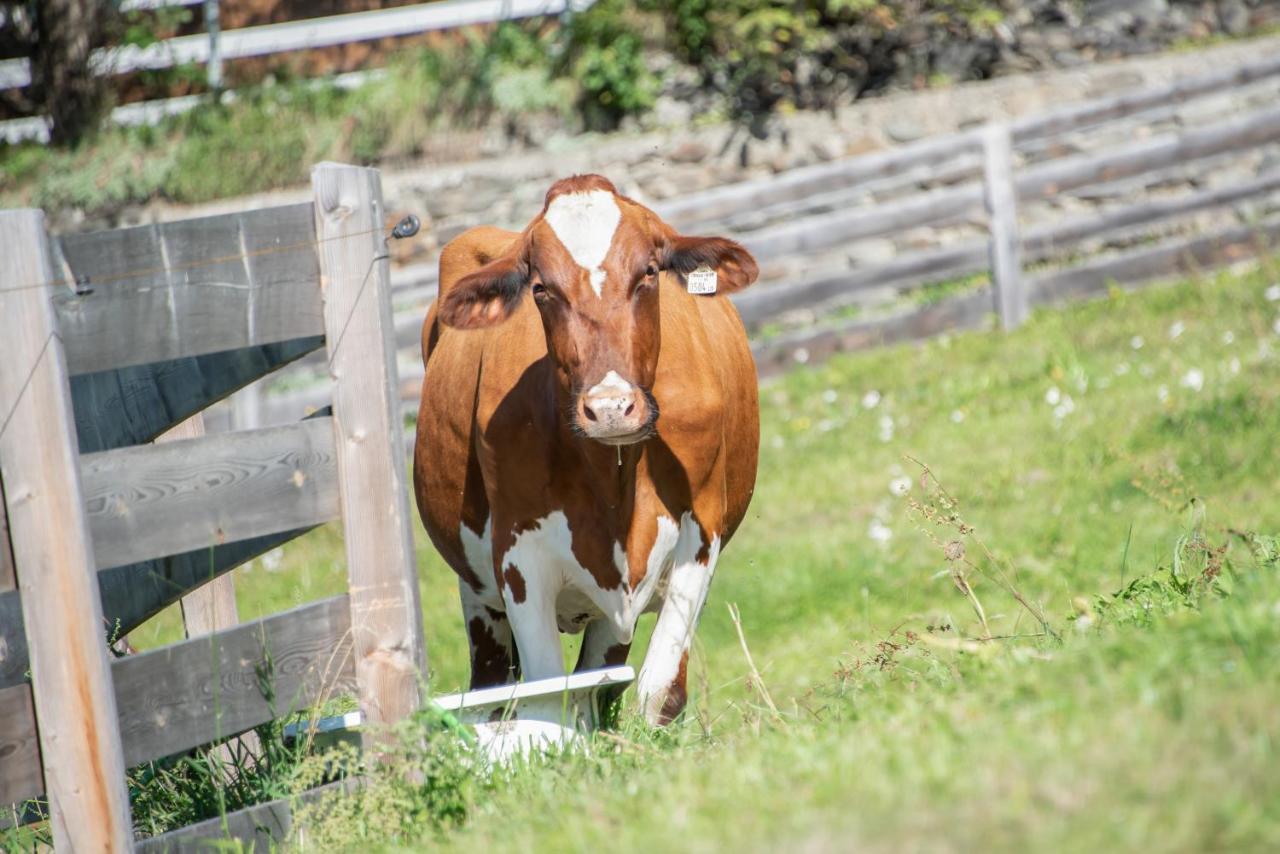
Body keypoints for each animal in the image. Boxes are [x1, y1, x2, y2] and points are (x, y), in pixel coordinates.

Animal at [412, 176, 757, 727]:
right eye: (541, 289)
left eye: (649, 273)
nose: (611, 406)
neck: (614, 475)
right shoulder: (518, 559)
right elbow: (545, 696)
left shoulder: (701, 532)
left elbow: (657, 690)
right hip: (478, 591)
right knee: (494, 682)